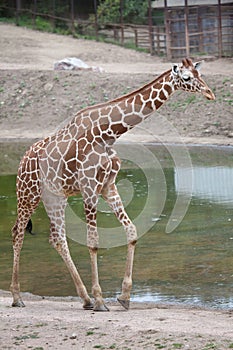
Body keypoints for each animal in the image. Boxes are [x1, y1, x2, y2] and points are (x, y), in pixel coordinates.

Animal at [10, 58, 215, 312]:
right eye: (186, 78)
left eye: (200, 73)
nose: (210, 93)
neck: (108, 134)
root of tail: (23, 160)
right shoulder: (89, 188)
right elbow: (94, 242)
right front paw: (101, 300)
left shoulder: (108, 186)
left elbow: (132, 231)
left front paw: (124, 296)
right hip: (27, 192)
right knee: (18, 232)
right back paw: (17, 297)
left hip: (55, 197)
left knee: (57, 238)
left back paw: (84, 299)